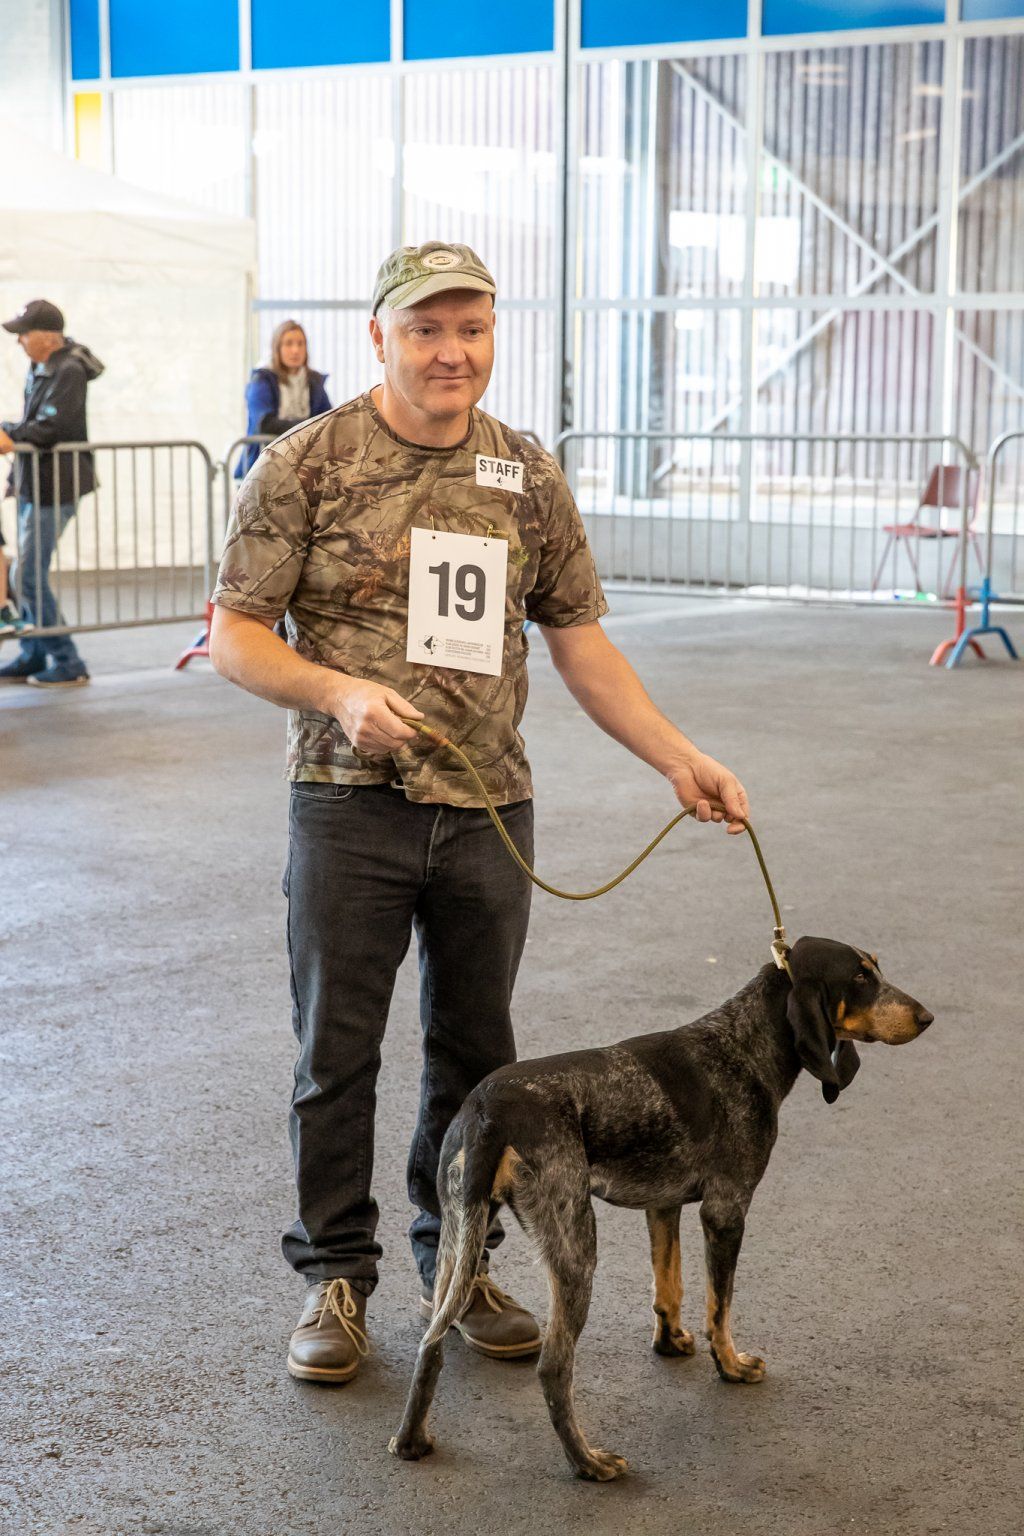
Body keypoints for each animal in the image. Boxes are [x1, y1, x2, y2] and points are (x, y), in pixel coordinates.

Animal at [389, 933, 939, 1474]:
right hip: (574, 1246)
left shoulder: (663, 1205)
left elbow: (669, 1283)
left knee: (431, 1342)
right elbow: (720, 1307)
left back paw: (411, 1441)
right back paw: (587, 1463)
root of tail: (488, 1111)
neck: (743, 1046)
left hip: (458, 1234)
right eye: (860, 977)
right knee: (553, 1366)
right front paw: (730, 1366)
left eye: (876, 966)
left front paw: (670, 1342)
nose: (927, 1017)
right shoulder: (725, 1210)